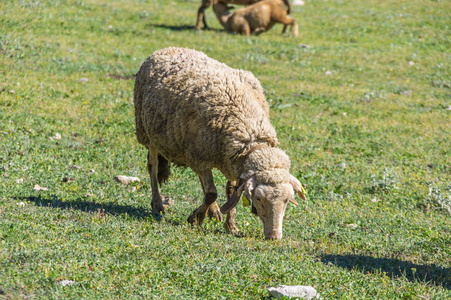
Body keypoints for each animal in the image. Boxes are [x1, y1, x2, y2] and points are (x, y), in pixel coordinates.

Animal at [132, 47, 306, 239]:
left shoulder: (231, 161)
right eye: (259, 198)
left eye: (287, 200)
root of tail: (168, 48)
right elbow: (211, 194)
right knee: (153, 167)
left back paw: (214, 212)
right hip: (147, 131)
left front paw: (231, 225)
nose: (274, 236)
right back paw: (157, 205)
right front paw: (196, 218)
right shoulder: (199, 157)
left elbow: (231, 192)